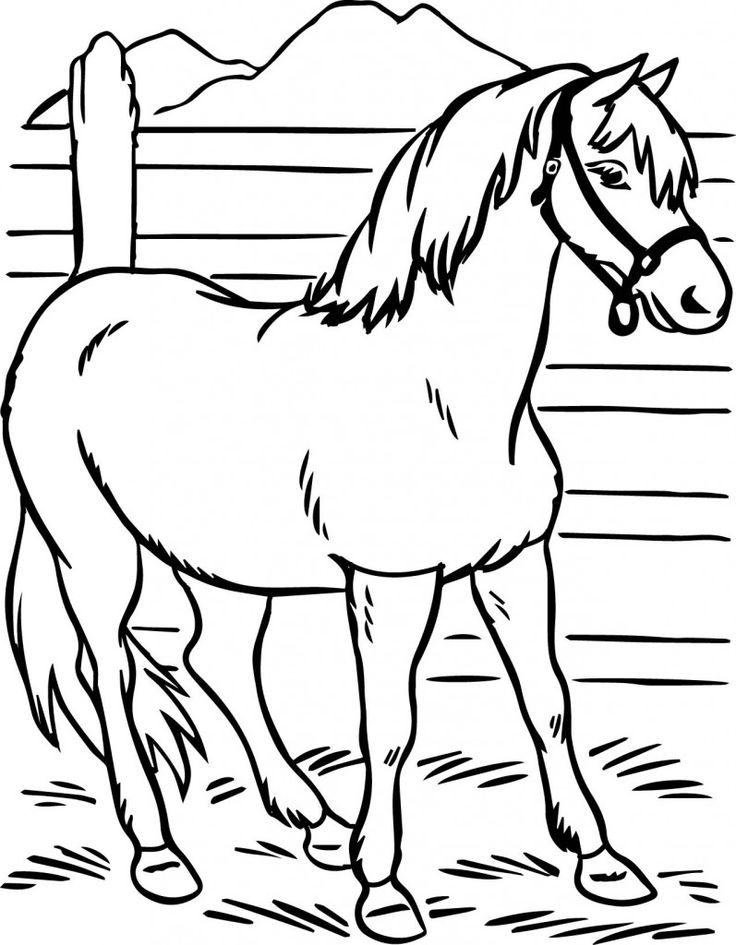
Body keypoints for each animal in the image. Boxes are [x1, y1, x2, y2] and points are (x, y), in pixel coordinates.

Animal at [3, 33, 729, 944]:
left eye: (684, 171)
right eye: (610, 167)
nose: (703, 299)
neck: (447, 393)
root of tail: (87, 289)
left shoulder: (517, 563)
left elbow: (549, 700)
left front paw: (600, 861)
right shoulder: (391, 584)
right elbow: (389, 726)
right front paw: (382, 890)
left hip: (227, 559)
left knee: (216, 657)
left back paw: (308, 816)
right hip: (95, 549)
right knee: (113, 669)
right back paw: (162, 855)